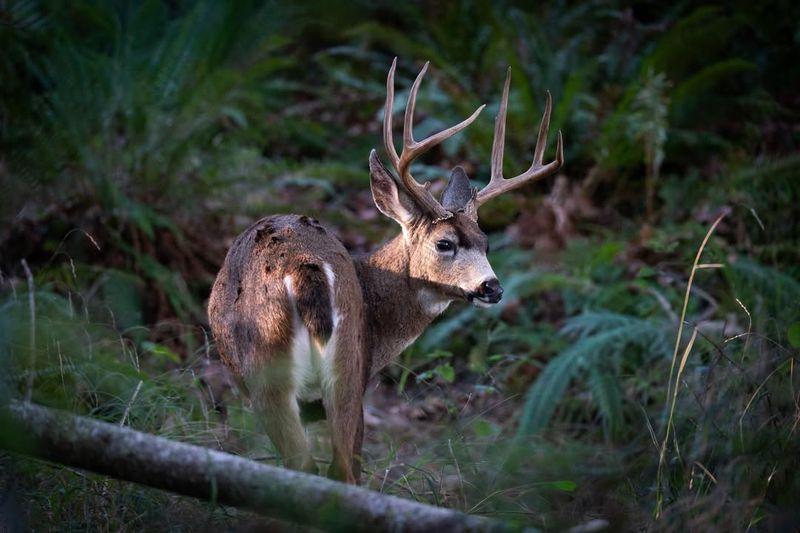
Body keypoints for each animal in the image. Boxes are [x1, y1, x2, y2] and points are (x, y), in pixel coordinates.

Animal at [207, 58, 564, 484]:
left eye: (486, 243)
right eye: (445, 243)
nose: (492, 288)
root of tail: (303, 268)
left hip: (289, 375)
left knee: (318, 468)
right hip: (334, 371)